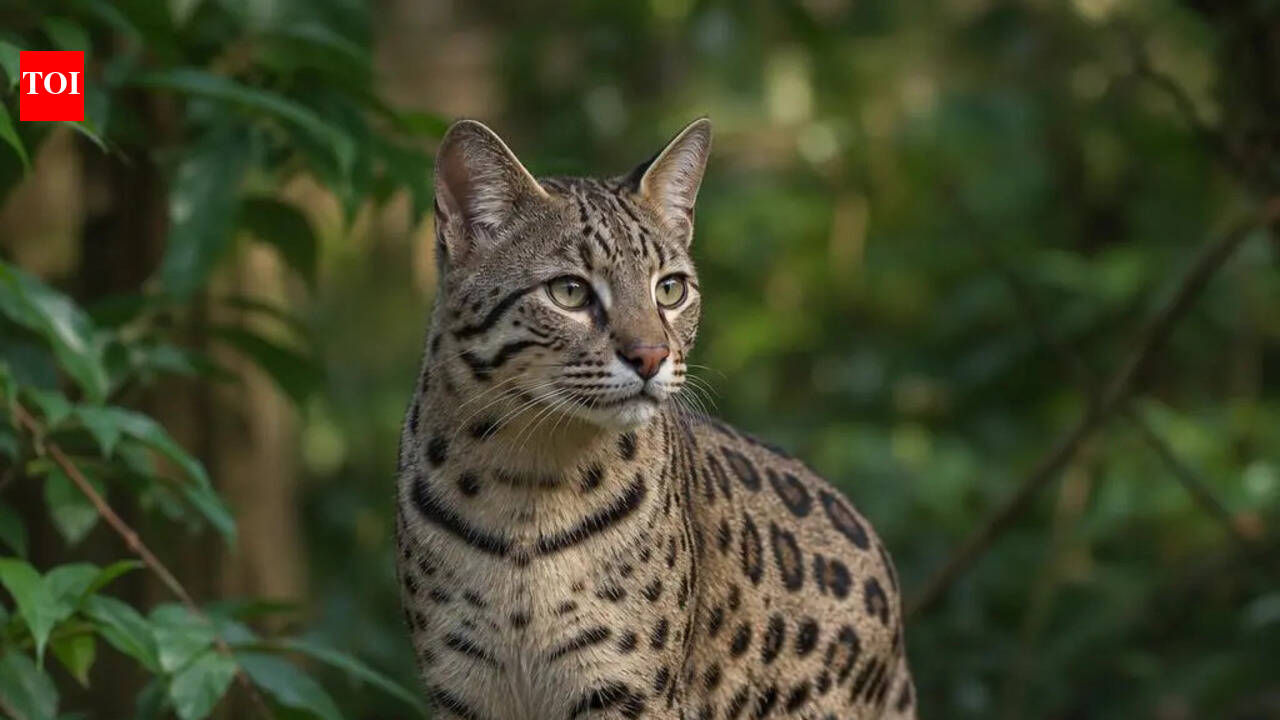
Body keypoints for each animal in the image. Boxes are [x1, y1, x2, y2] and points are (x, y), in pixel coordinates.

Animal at [394, 117, 917, 720]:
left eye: (670, 289)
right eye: (568, 291)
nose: (650, 356)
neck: (526, 484)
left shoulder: (629, 688)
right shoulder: (461, 687)